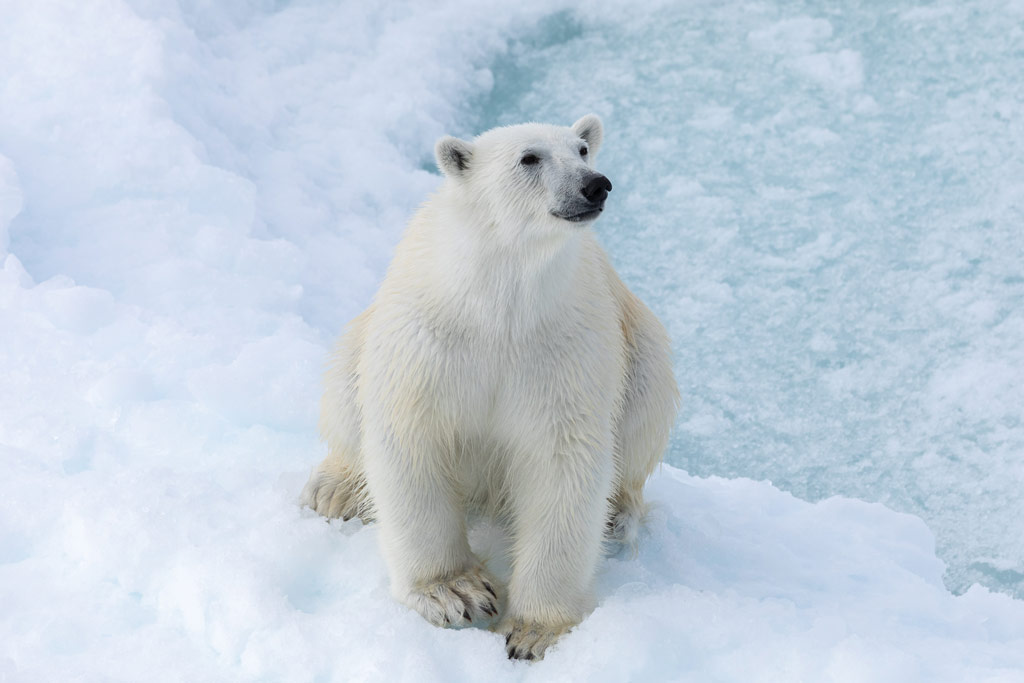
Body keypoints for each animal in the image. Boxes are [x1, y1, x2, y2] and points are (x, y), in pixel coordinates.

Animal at [299, 114, 675, 659]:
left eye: (583, 150)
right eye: (529, 157)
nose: (595, 184)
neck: (499, 304)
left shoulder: (564, 351)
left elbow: (562, 463)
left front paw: (532, 631)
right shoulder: (428, 345)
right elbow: (410, 442)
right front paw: (456, 591)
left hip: (639, 348)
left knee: (646, 408)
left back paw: (616, 515)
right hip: (362, 342)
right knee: (347, 396)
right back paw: (336, 490)